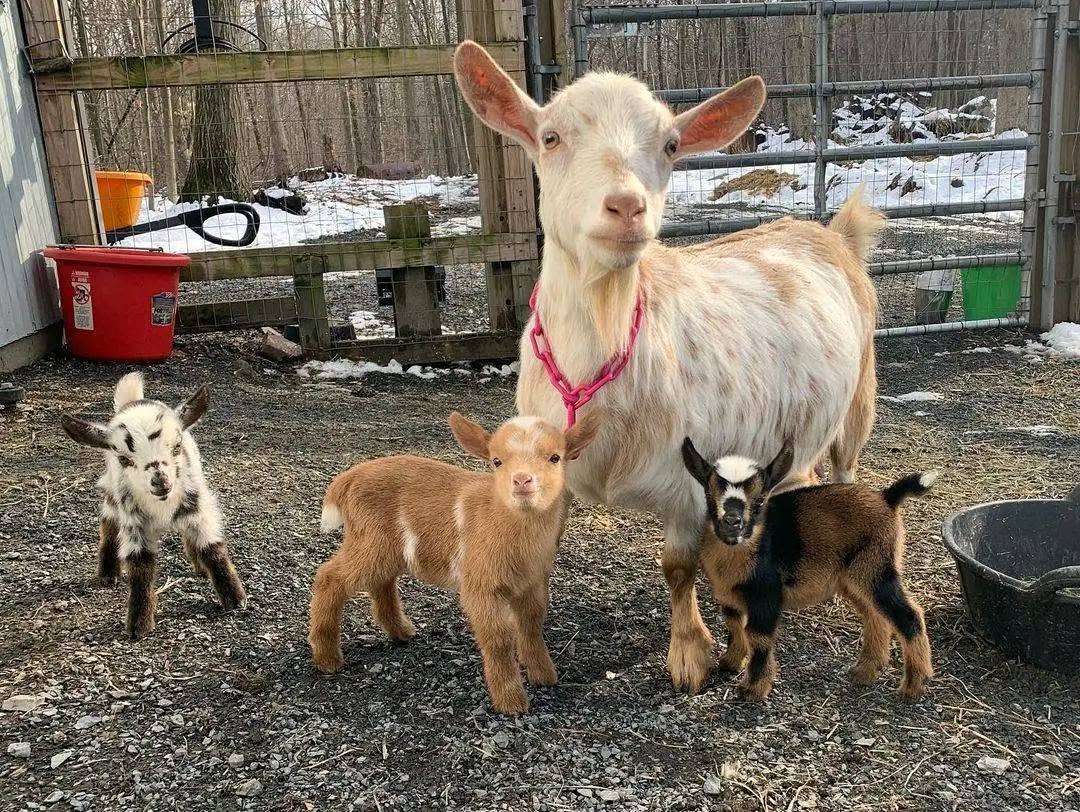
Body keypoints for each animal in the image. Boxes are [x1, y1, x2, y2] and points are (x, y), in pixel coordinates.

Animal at [61, 373, 246, 639]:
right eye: (124, 458)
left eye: (177, 446)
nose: (161, 482)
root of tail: (132, 401)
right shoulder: (134, 521)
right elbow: (140, 564)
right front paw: (139, 625)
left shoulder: (198, 507)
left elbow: (212, 548)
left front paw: (235, 599)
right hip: (112, 492)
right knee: (108, 523)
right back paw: (107, 574)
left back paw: (200, 568)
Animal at [308, 409, 602, 715]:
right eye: (497, 461)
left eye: (555, 457)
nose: (522, 480)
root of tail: (347, 478)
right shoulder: (479, 585)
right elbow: (498, 638)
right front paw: (511, 702)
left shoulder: (533, 583)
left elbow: (532, 624)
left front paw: (544, 676)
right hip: (368, 542)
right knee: (329, 577)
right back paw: (327, 658)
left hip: (385, 549)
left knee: (381, 581)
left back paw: (400, 632)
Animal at [454, 42, 885, 692]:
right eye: (550, 137)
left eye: (671, 145)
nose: (626, 205)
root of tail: (830, 232)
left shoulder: (689, 481)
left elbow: (677, 567)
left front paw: (689, 654)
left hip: (859, 398)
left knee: (845, 467)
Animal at [682, 438, 935, 700]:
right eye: (709, 496)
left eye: (760, 500)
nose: (732, 523)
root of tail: (887, 498)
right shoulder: (729, 594)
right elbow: (733, 624)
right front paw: (731, 662)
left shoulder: (766, 595)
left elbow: (758, 637)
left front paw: (753, 688)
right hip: (856, 576)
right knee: (874, 614)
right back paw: (866, 670)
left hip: (876, 567)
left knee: (908, 616)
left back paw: (914, 685)